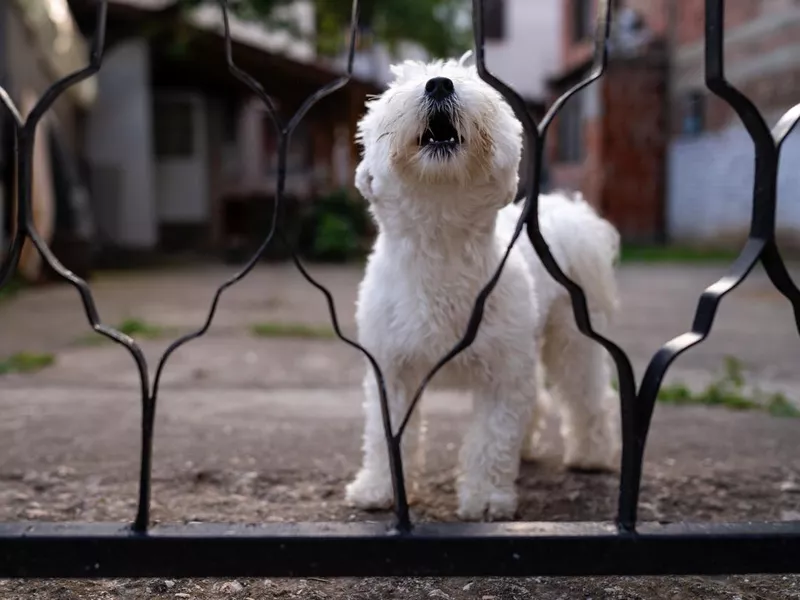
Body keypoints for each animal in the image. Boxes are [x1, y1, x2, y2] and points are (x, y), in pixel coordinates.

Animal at [340, 55, 620, 520]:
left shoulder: (502, 372)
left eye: (473, 82)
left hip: (571, 335)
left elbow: (492, 437)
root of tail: (566, 213)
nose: (438, 84)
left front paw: (487, 498)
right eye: (403, 83)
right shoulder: (391, 367)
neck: (443, 244)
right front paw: (378, 488)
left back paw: (592, 455)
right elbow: (385, 437)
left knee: (586, 394)